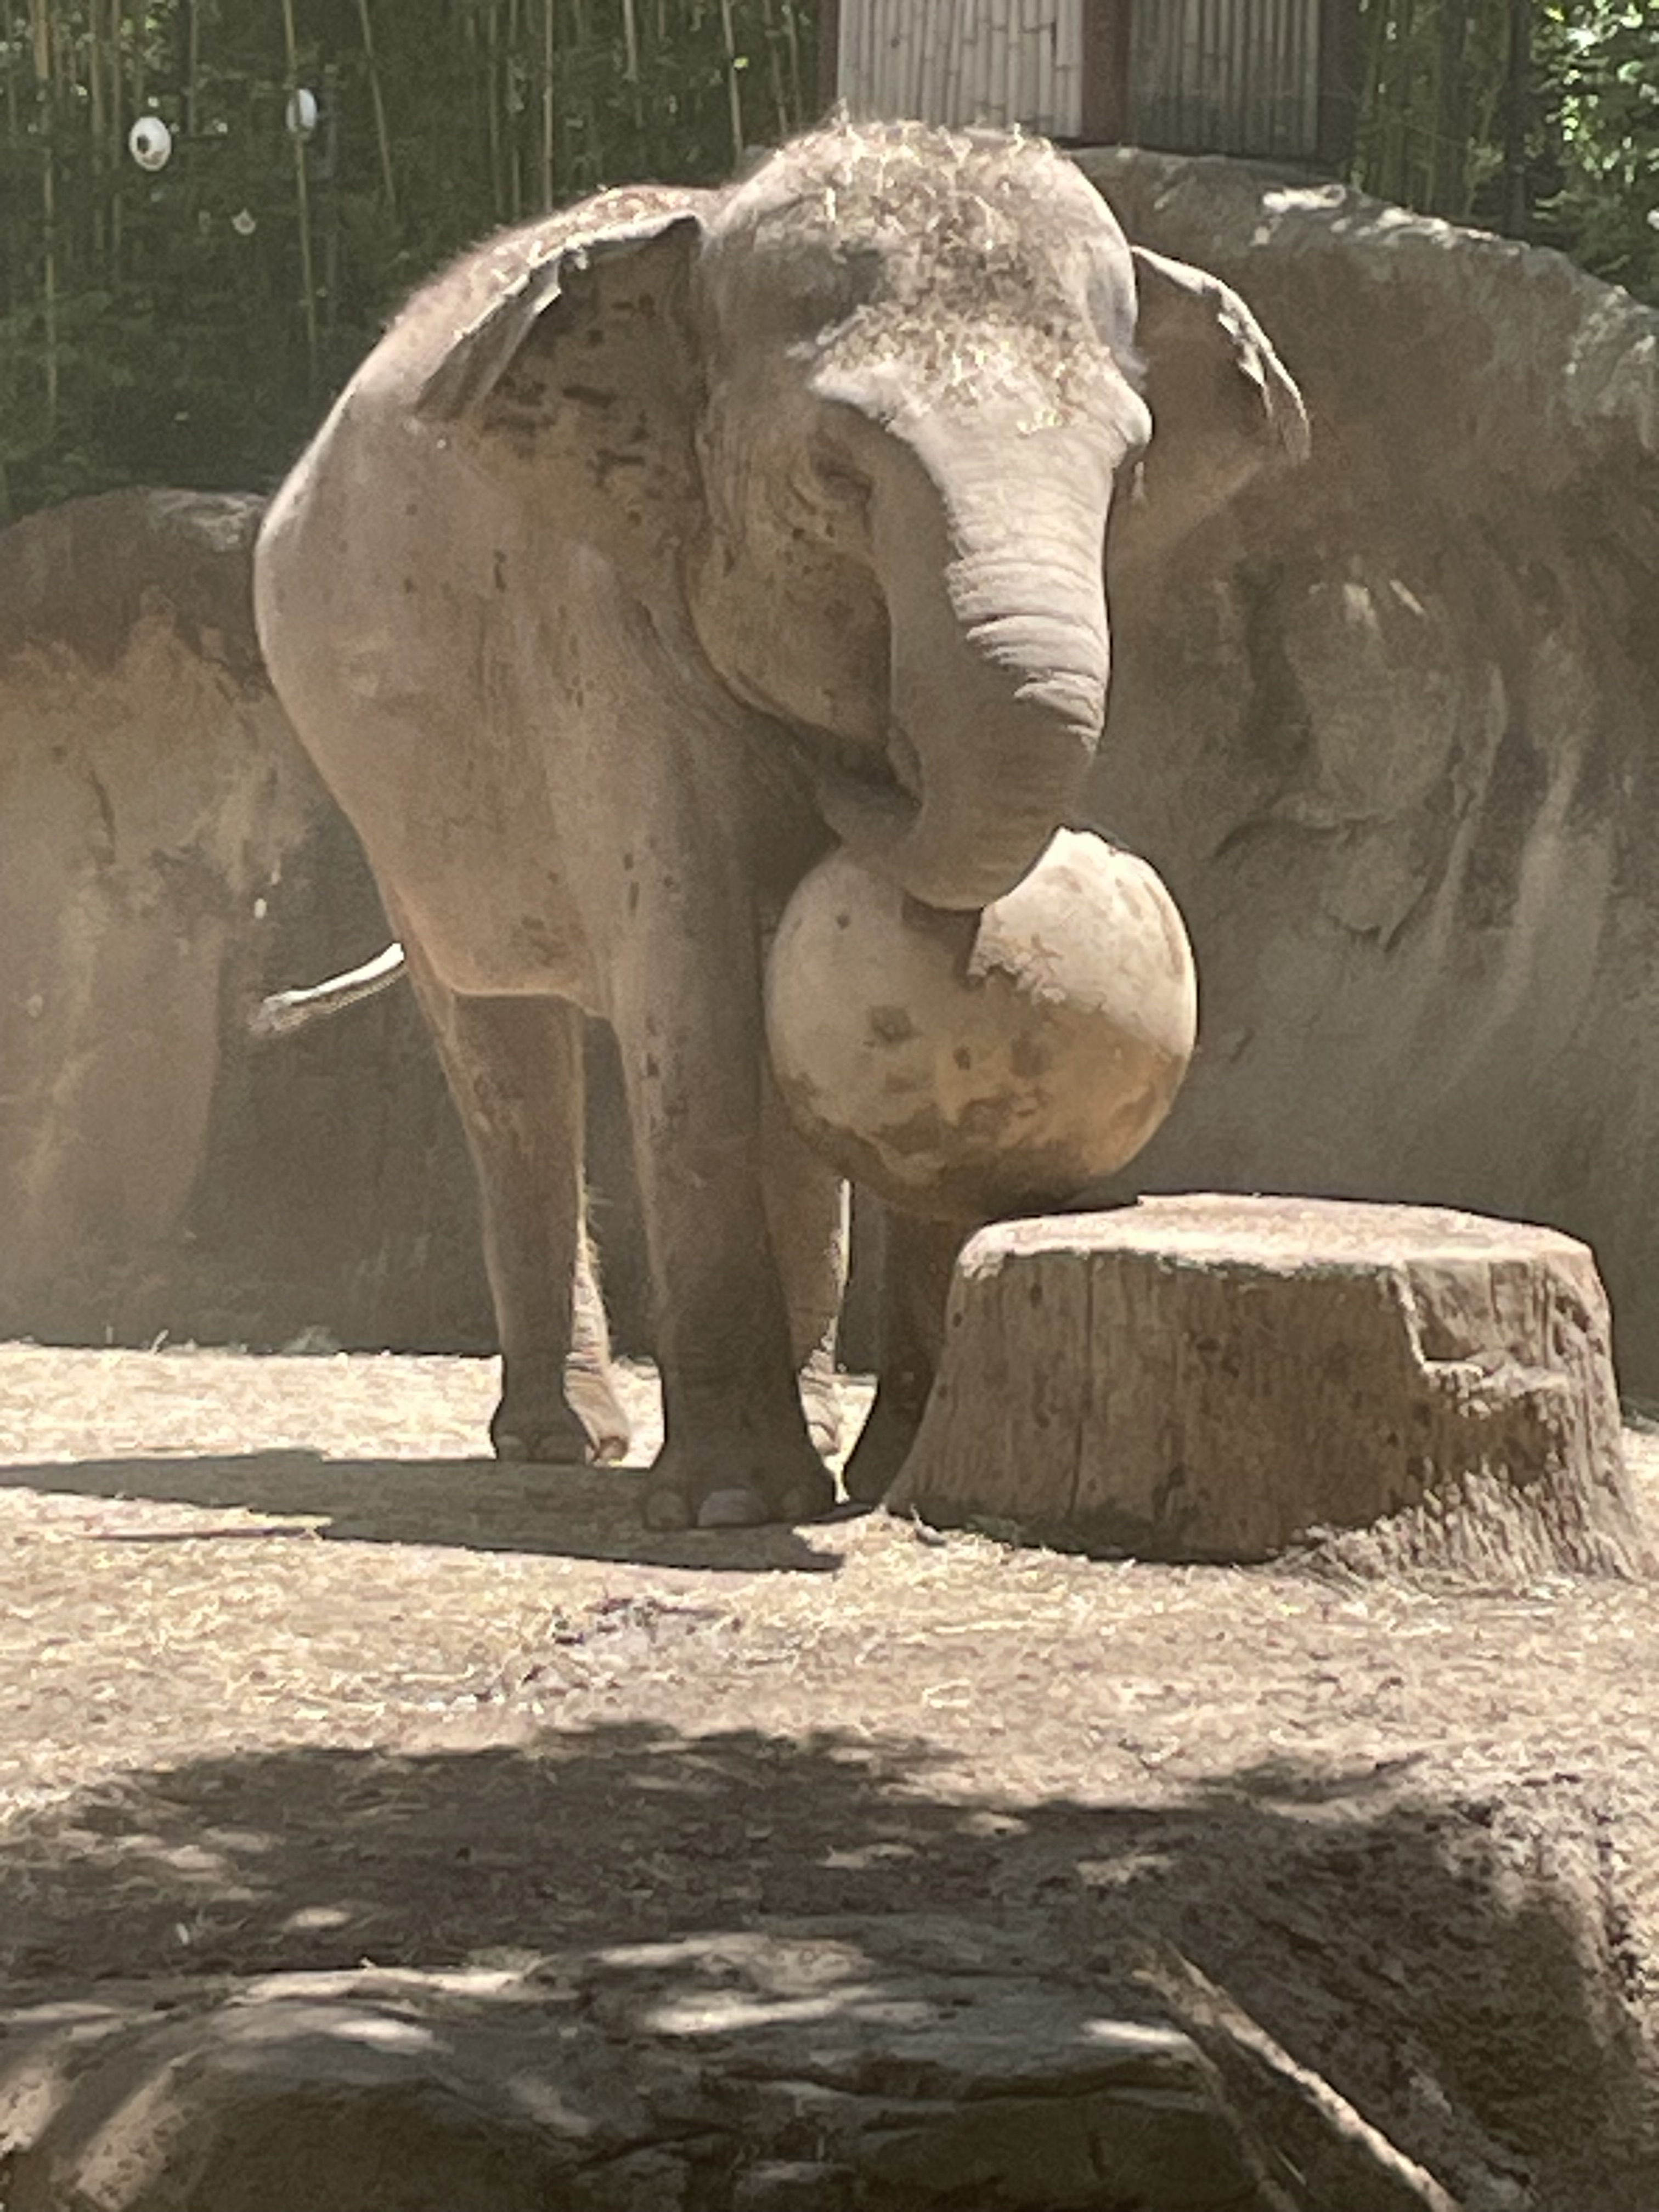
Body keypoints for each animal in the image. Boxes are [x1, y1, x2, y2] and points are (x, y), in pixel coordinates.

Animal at [254, 116, 1306, 1531]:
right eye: (836, 475)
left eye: (1128, 474)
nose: (863, 776)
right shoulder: (607, 630)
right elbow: (690, 993)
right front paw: (725, 1512)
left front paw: (893, 1479)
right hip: (384, 795)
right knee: (502, 1045)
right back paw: (567, 1447)